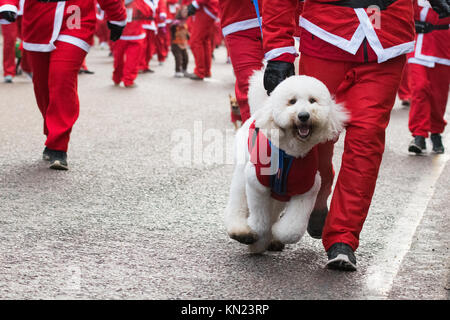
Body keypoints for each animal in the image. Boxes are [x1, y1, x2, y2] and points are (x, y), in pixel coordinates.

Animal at [225, 71, 348, 254]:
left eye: (312, 100)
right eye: (292, 101)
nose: (303, 116)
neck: (289, 154)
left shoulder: (307, 189)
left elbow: (291, 230)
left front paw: (276, 234)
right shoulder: (257, 182)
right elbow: (260, 218)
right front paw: (257, 235)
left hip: (279, 195)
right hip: (243, 172)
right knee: (238, 201)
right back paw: (241, 231)